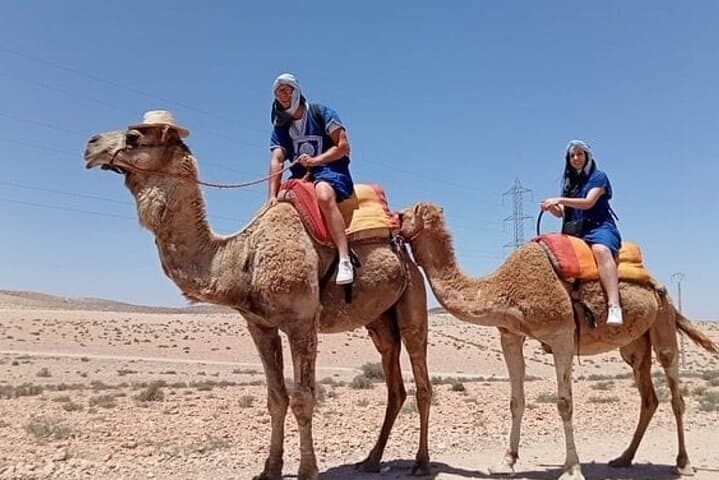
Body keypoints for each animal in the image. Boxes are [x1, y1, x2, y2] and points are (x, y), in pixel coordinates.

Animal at [83, 127, 433, 480]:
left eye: (134, 136)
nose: (91, 145)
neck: (242, 258)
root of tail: (399, 236)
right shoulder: (259, 325)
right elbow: (276, 397)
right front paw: (270, 468)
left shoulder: (302, 322)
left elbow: (303, 398)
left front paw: (307, 471)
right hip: (378, 319)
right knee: (394, 383)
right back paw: (372, 459)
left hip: (413, 299)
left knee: (421, 379)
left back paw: (421, 462)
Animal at [398, 202, 718, 480]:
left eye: (402, 215)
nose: (393, 223)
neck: (503, 288)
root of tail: (659, 284)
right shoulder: (510, 335)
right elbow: (516, 400)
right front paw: (506, 461)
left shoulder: (561, 334)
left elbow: (564, 403)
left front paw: (572, 468)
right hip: (635, 344)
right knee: (648, 396)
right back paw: (624, 458)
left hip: (662, 321)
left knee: (674, 388)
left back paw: (683, 464)